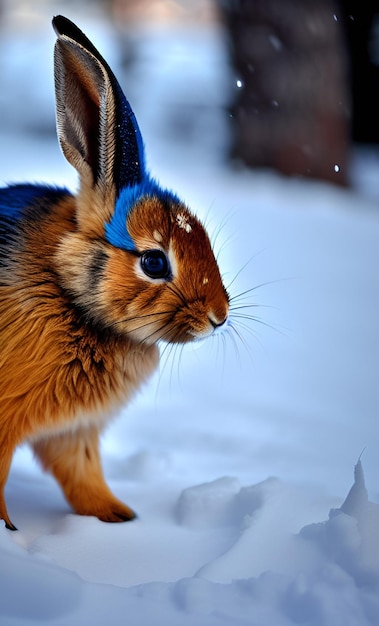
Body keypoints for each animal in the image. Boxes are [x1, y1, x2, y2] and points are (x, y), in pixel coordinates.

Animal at [0, 17, 229, 528]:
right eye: (154, 262)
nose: (219, 317)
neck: (70, 291)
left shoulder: (74, 431)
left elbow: (82, 475)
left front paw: (120, 518)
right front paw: (7, 528)